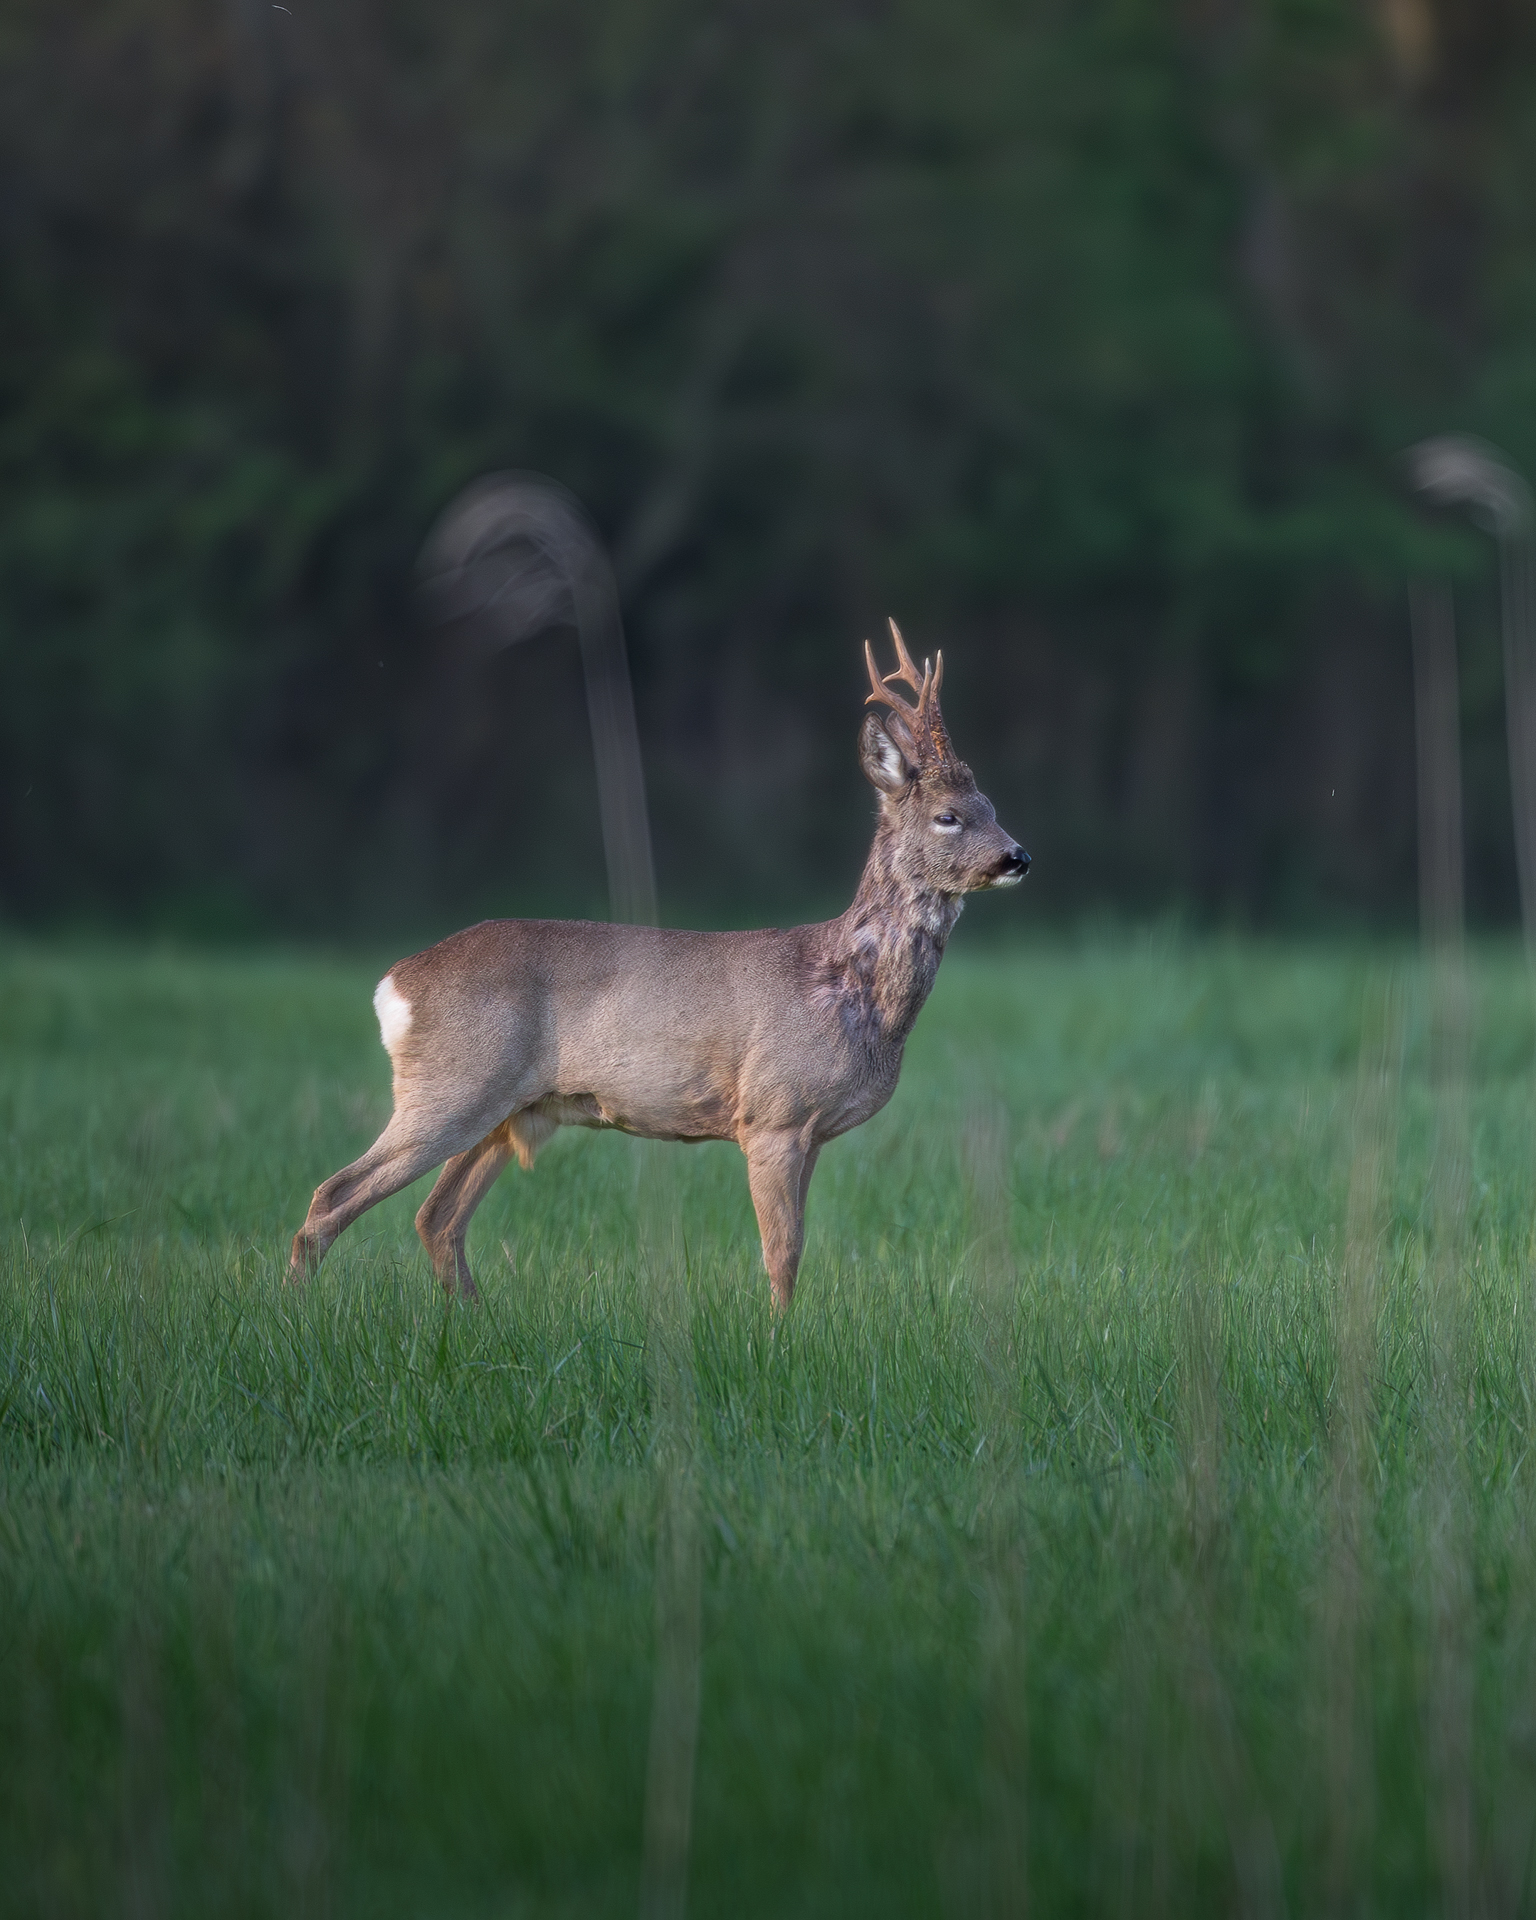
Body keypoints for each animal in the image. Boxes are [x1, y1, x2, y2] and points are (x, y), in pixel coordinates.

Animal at [289, 621, 1029, 1308]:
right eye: (949, 816)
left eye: (994, 808)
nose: (1018, 857)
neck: (852, 989)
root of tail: (395, 984)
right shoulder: (773, 1112)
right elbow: (783, 1249)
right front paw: (779, 1337)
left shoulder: (814, 1131)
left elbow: (795, 1244)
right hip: (452, 1084)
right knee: (334, 1195)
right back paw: (298, 1315)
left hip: (511, 1110)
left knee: (436, 1219)